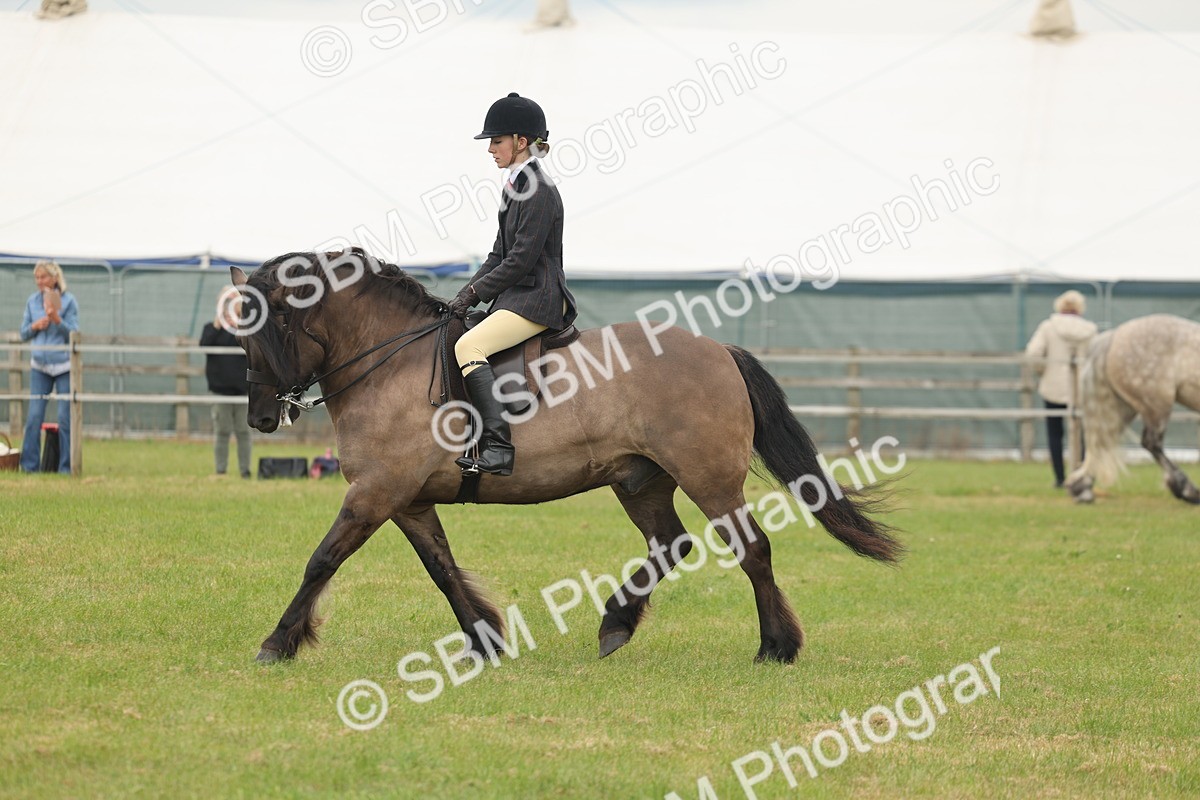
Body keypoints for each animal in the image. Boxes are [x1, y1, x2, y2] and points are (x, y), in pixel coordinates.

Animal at [230, 249, 901, 666]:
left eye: (267, 331)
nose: (261, 417)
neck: (389, 362)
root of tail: (717, 349)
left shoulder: (375, 494)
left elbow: (321, 561)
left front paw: (276, 643)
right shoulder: (407, 501)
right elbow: (442, 569)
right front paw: (486, 642)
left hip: (709, 479)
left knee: (752, 548)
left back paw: (774, 647)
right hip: (641, 481)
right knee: (671, 543)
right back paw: (616, 625)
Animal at [1067, 314, 1200, 504]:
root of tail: (1114, 335)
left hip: (1124, 408)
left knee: (1103, 442)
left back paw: (1081, 488)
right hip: (1156, 406)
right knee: (1151, 444)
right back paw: (1187, 490)